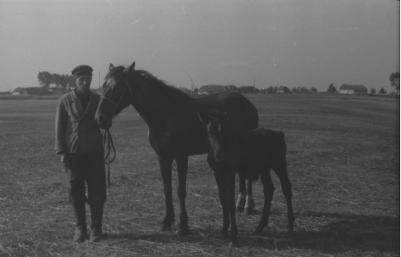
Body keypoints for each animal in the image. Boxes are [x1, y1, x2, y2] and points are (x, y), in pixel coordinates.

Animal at [94, 62, 258, 242]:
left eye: (118, 87)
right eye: (104, 85)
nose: (100, 118)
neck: (166, 113)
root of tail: (247, 103)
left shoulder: (181, 157)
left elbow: (180, 191)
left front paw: (183, 225)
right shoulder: (162, 157)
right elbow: (167, 189)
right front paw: (167, 221)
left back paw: (248, 205)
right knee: (242, 176)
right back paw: (240, 203)